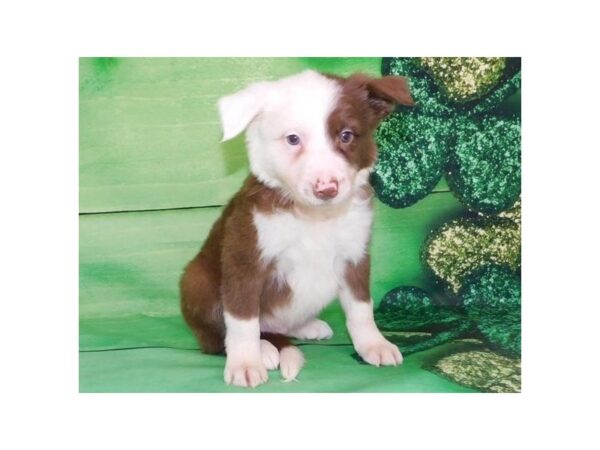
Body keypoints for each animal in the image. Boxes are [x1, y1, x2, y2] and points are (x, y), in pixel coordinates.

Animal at [179, 70, 412, 386]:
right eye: (293, 139)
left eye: (346, 135)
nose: (327, 188)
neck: (315, 217)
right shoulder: (244, 259)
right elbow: (242, 321)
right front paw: (245, 363)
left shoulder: (355, 256)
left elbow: (361, 308)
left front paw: (374, 345)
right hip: (196, 281)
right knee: (217, 338)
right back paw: (264, 349)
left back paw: (304, 328)